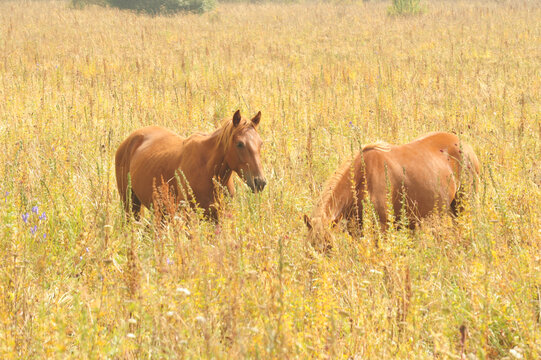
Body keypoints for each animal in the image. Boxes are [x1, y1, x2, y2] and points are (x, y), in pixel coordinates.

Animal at [306, 132, 478, 250]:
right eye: (310, 245)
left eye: (329, 246)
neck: (364, 175)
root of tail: (466, 146)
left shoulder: (382, 228)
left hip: (463, 204)